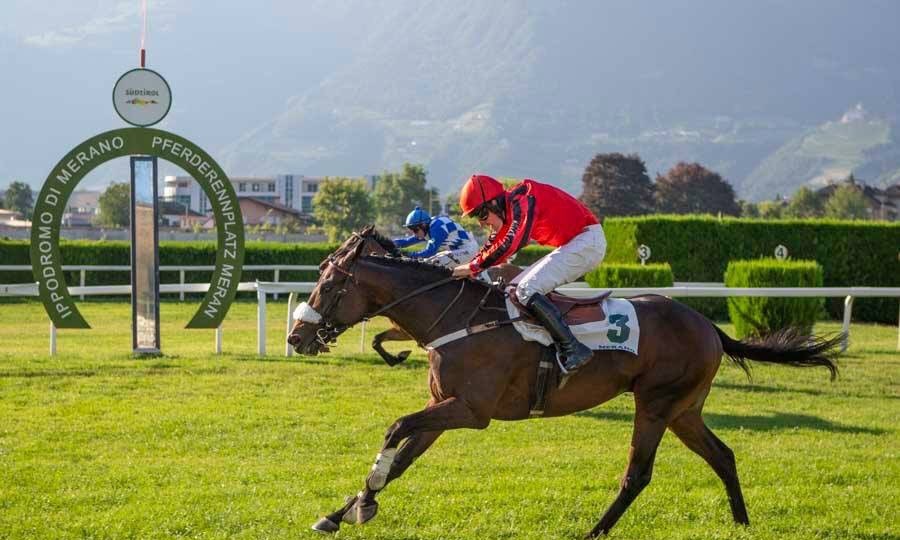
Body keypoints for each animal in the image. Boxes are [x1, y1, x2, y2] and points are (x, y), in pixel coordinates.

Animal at [290, 227, 844, 536]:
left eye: (330, 284)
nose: (297, 336)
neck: (457, 317)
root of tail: (708, 325)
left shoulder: (471, 411)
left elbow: (395, 427)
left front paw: (362, 503)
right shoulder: (445, 407)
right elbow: (402, 457)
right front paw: (344, 511)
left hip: (656, 404)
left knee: (637, 474)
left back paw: (594, 531)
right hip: (684, 410)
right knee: (723, 456)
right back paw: (741, 522)